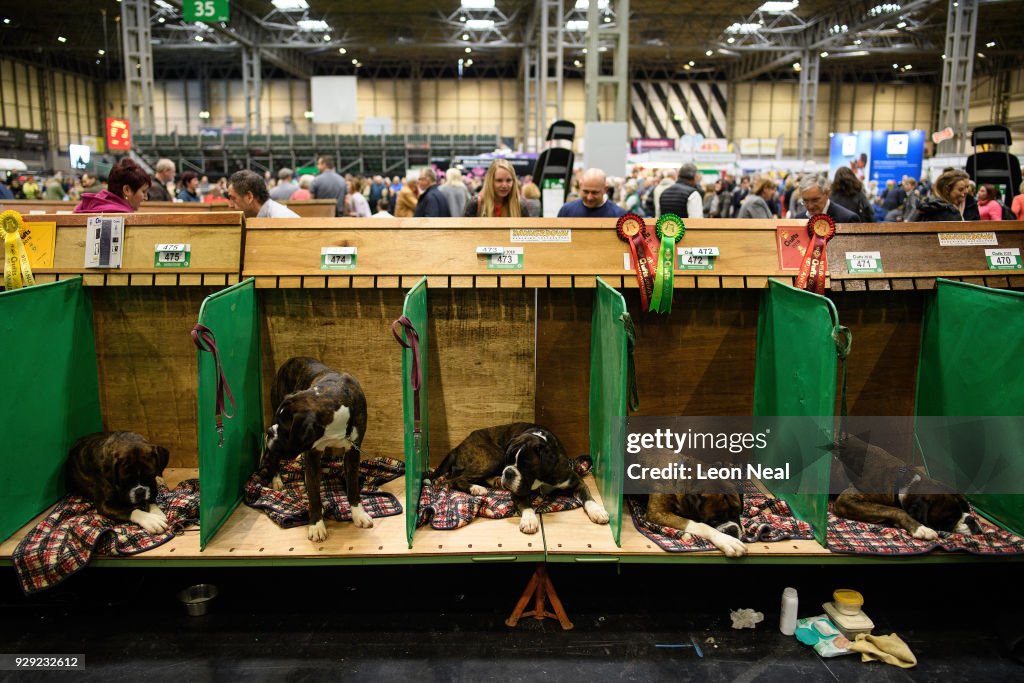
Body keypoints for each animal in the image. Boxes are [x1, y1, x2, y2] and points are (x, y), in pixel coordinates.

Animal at [262, 356, 370, 540]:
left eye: (285, 429)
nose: (270, 432)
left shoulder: (353, 451)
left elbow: (353, 486)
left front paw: (358, 514)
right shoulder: (311, 453)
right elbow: (314, 495)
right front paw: (316, 525)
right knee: (273, 456)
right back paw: (276, 479)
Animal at [423, 423, 606, 536]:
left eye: (525, 465)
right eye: (508, 459)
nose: (508, 472)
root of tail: (458, 446)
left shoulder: (575, 481)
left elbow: (588, 498)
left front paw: (597, 511)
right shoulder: (517, 491)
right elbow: (526, 505)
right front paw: (530, 520)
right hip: (492, 458)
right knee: (452, 480)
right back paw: (477, 488)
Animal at [827, 436, 978, 540]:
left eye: (967, 508)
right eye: (950, 519)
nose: (971, 520)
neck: (908, 481)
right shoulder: (847, 499)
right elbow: (896, 510)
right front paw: (921, 528)